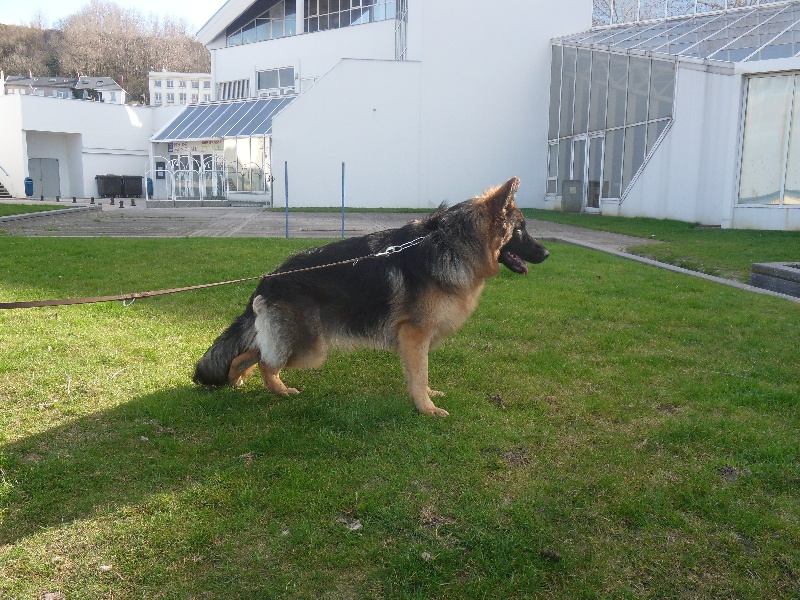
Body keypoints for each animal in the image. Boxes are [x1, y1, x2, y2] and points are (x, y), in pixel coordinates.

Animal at [191, 176, 548, 414]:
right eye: (521, 230)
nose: (546, 254)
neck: (452, 243)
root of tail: (268, 279)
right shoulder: (415, 334)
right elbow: (419, 374)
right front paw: (426, 408)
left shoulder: (416, 340)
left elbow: (420, 374)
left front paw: (426, 396)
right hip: (310, 349)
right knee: (265, 361)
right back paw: (279, 391)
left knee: (247, 353)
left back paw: (235, 380)